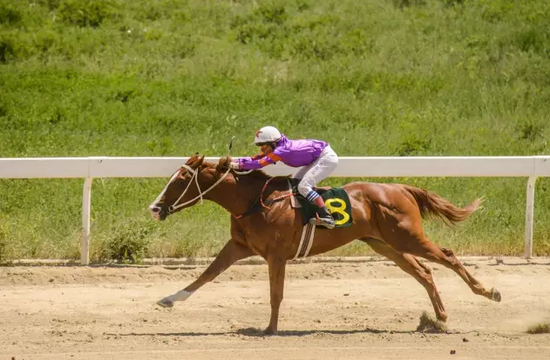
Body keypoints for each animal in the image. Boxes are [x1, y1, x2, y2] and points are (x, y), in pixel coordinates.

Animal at [149, 155, 502, 334]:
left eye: (182, 179)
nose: (155, 207)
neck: (254, 201)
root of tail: (400, 188)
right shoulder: (239, 246)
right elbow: (206, 274)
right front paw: (168, 299)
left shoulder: (276, 255)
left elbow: (276, 294)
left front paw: (270, 329)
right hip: (385, 244)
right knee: (424, 272)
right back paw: (438, 318)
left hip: (408, 237)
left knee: (447, 256)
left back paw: (488, 292)